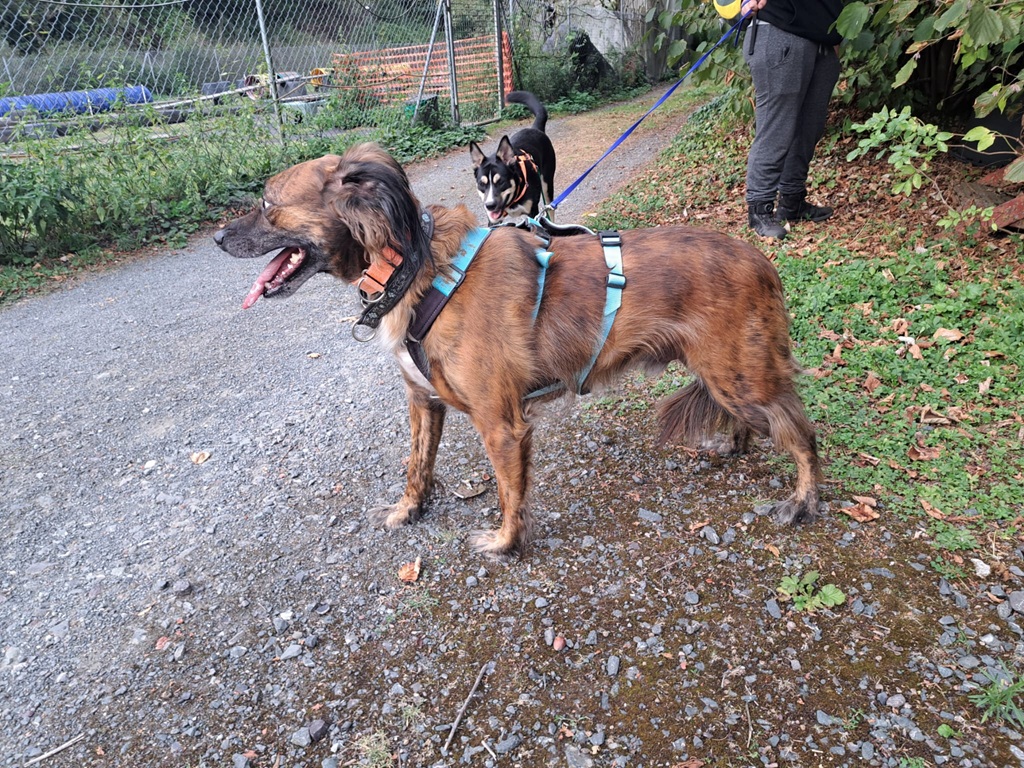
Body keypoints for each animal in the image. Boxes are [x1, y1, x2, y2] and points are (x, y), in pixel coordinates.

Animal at [214, 143, 823, 559]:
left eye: (266, 204)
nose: (218, 238)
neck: (411, 265)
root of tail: (760, 259)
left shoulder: (501, 425)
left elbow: (510, 492)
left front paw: (506, 543)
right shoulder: (423, 402)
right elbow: (416, 465)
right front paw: (409, 511)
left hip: (739, 374)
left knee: (802, 433)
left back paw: (802, 502)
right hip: (729, 377)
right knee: (757, 420)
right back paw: (735, 446)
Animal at [469, 91, 556, 223]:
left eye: (501, 182)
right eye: (481, 184)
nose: (490, 205)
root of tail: (535, 129)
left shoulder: (532, 212)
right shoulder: (493, 220)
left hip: (547, 185)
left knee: (550, 210)